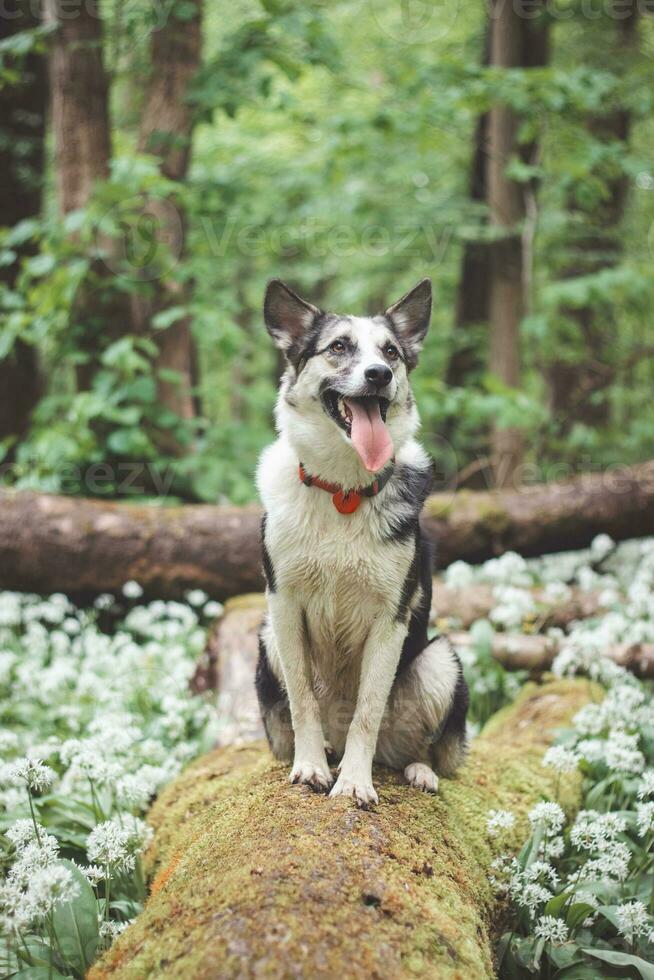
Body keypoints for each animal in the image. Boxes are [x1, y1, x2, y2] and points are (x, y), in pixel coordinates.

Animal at [256, 276, 472, 804]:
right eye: (338, 347)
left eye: (391, 352)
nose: (379, 375)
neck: (344, 490)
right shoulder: (283, 605)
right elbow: (303, 700)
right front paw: (311, 767)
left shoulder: (389, 619)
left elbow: (368, 711)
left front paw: (354, 781)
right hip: (268, 639)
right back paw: (325, 753)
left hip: (440, 661)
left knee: (418, 749)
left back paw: (418, 772)